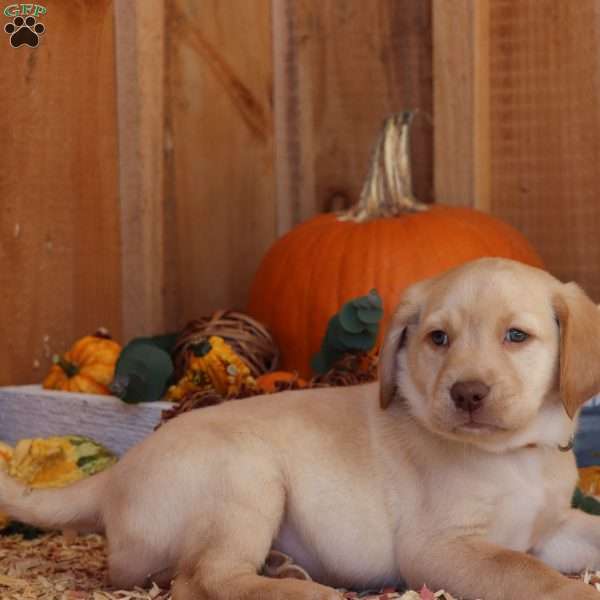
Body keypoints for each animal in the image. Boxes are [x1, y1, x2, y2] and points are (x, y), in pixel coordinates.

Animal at [1, 258, 600, 600]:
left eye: (516, 336)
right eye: (438, 339)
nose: (467, 394)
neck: (515, 453)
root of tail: (117, 474)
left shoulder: (553, 527)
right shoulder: (440, 547)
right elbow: (523, 573)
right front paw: (574, 594)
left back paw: (283, 568)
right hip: (245, 477)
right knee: (201, 580)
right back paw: (309, 595)